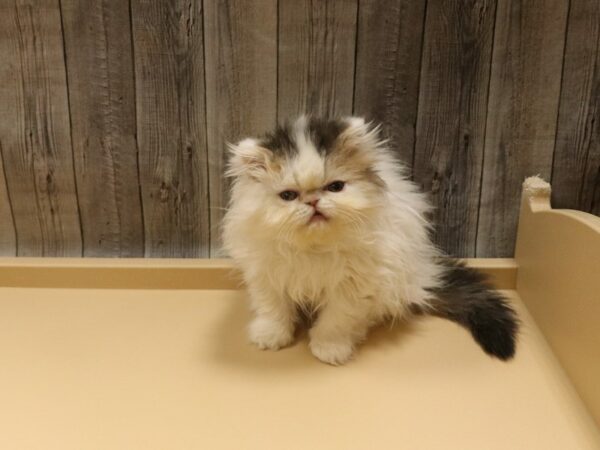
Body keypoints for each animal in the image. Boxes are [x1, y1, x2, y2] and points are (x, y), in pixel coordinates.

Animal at [223, 116, 516, 366]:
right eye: (288, 196)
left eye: (335, 187)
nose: (313, 201)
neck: (315, 248)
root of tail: (425, 274)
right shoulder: (267, 276)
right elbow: (273, 310)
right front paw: (270, 336)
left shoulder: (354, 286)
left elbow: (336, 321)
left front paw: (329, 349)